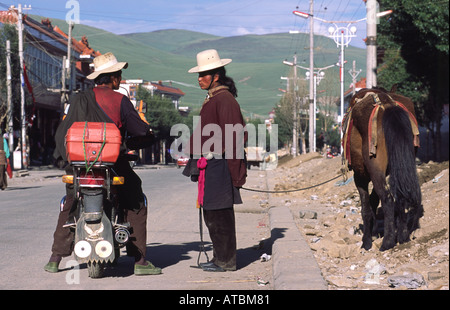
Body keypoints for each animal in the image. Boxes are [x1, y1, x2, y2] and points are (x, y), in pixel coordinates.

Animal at [342, 87, 424, 252]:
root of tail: (387, 105)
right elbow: (374, 200)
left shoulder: (360, 176)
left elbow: (366, 208)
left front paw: (367, 240)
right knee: (399, 196)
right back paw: (403, 235)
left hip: (374, 169)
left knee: (387, 198)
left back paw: (388, 242)